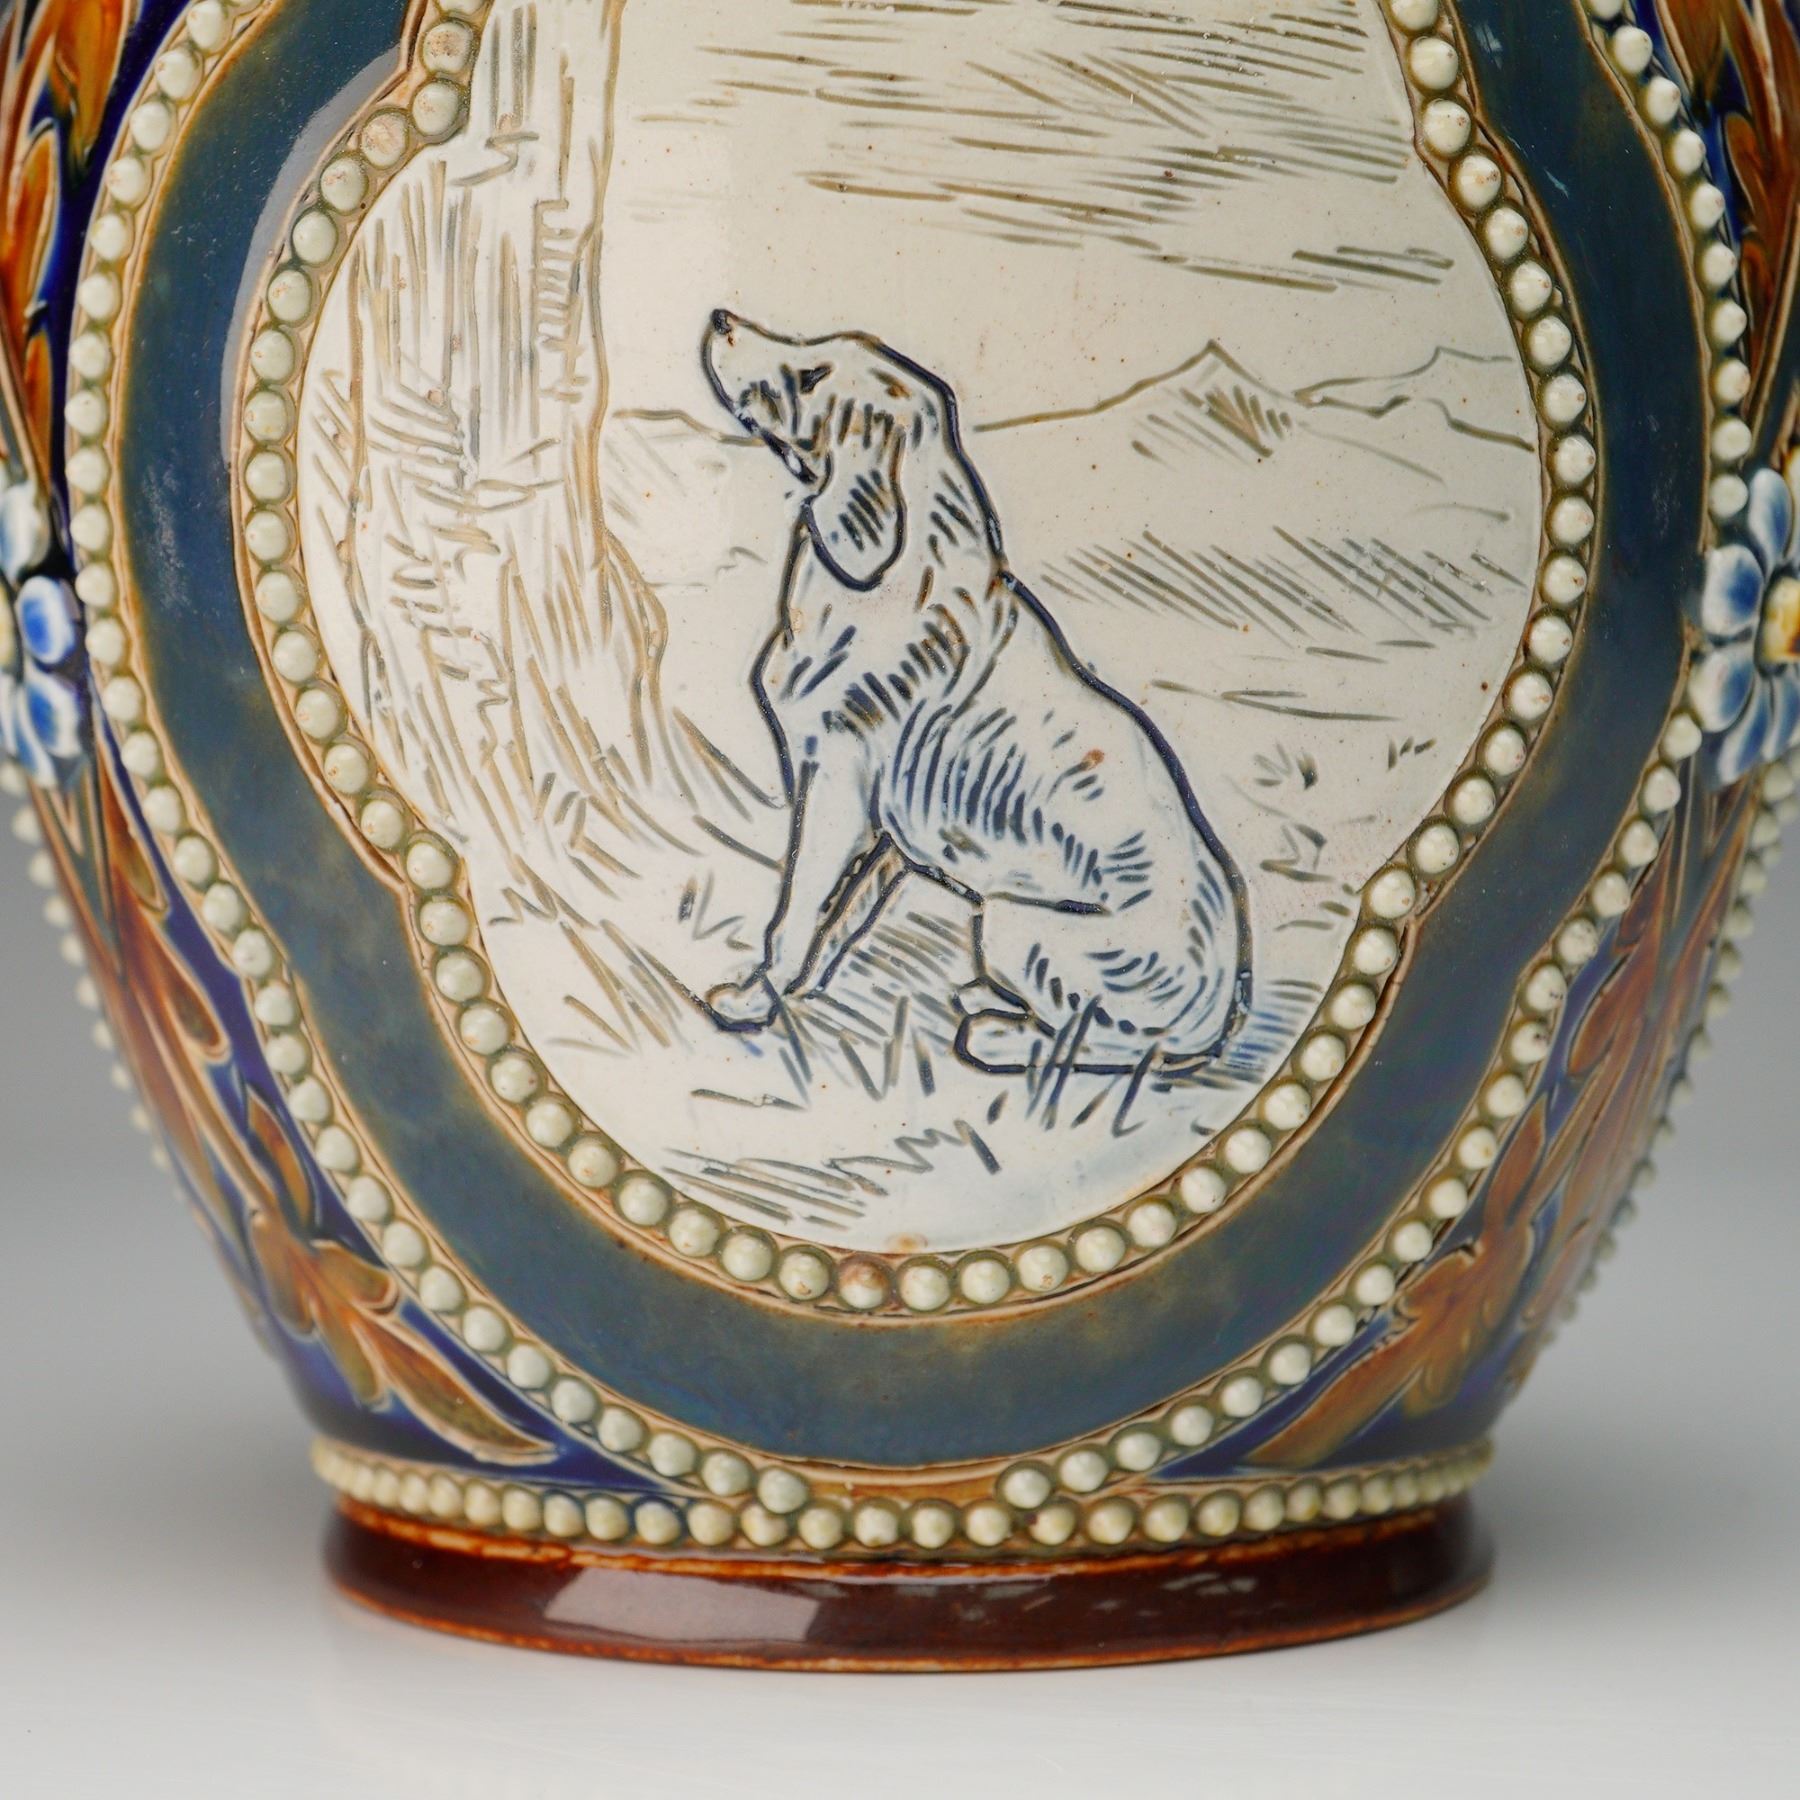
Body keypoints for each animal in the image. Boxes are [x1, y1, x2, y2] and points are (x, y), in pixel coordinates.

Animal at [700, 311, 1251, 1075]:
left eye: (812, 376)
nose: (719, 318)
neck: (884, 583)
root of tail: (1224, 1001)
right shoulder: (883, 828)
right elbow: (839, 915)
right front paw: (803, 988)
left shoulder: (836, 790)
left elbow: (795, 910)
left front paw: (757, 1000)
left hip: (1013, 923)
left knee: (1111, 1041)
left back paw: (995, 1034)